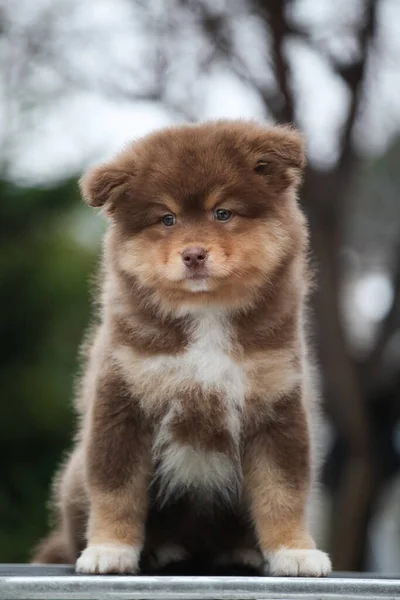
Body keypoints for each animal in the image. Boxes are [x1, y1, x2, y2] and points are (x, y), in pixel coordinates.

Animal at [32, 120, 332, 576]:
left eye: (222, 213)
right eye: (167, 219)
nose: (193, 255)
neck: (206, 314)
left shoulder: (278, 405)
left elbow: (283, 491)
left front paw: (293, 552)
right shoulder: (122, 402)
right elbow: (116, 490)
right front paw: (109, 550)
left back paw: (244, 551)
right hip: (72, 478)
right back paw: (158, 550)